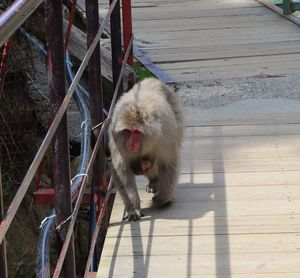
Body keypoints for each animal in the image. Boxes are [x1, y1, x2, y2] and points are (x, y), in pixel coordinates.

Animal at [109, 77, 184, 220]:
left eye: (136, 132)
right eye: (128, 131)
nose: (130, 143)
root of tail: (152, 79)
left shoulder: (165, 137)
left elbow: (168, 164)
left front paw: (163, 198)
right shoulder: (117, 139)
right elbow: (122, 171)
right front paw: (133, 207)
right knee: (144, 164)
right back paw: (153, 180)